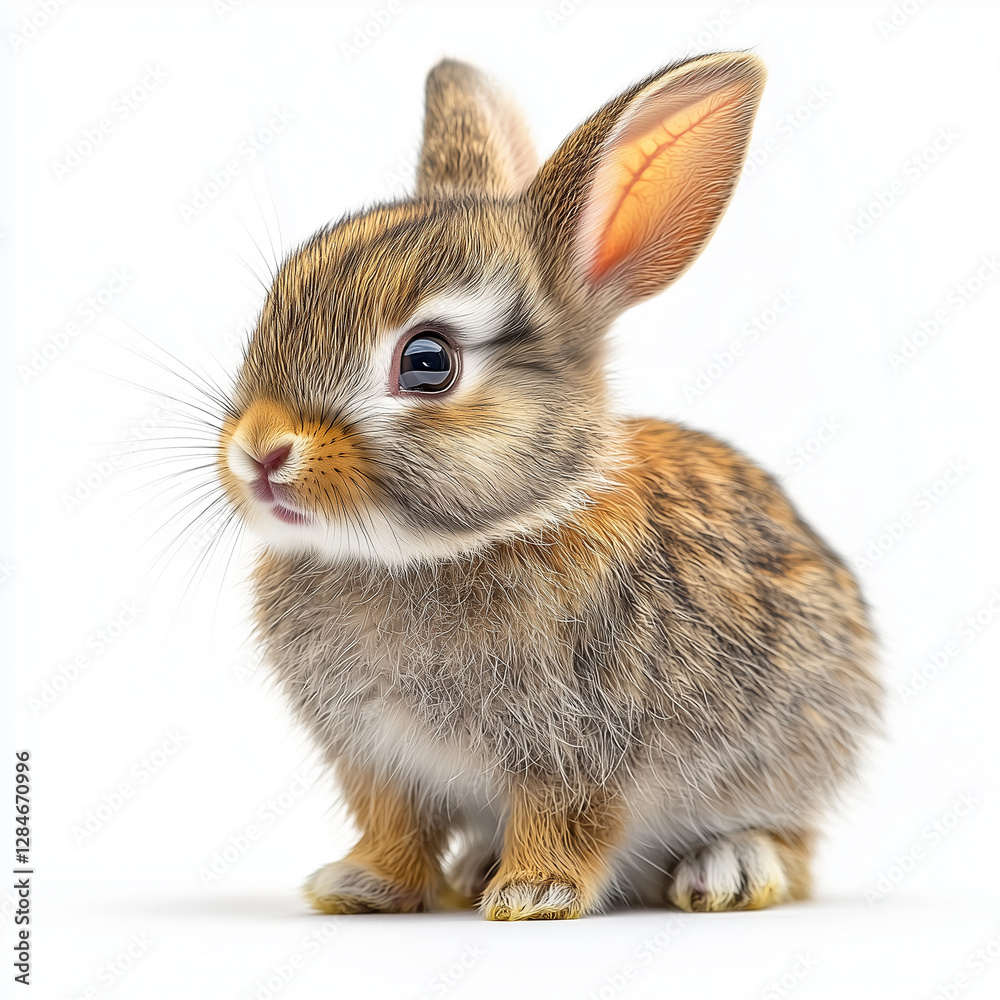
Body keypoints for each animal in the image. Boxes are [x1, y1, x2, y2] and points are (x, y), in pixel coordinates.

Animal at [216, 52, 880, 920]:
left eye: (427, 362)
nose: (259, 453)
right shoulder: (379, 760)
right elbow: (395, 827)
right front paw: (361, 885)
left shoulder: (578, 748)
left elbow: (564, 817)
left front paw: (534, 893)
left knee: (790, 840)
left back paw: (728, 868)